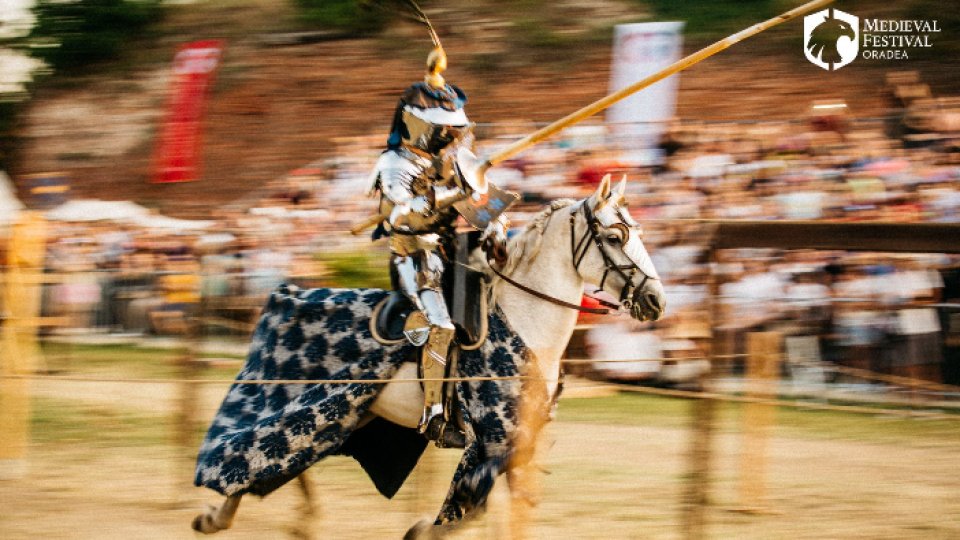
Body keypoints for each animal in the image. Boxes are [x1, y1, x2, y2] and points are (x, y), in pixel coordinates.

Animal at [191, 176, 664, 536]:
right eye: (614, 236)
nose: (656, 301)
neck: (526, 320)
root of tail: (285, 292)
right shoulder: (495, 441)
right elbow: (479, 507)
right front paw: (422, 529)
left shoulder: (519, 445)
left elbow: (500, 508)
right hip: (297, 401)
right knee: (256, 453)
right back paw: (225, 516)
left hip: (347, 414)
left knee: (291, 460)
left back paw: (286, 519)